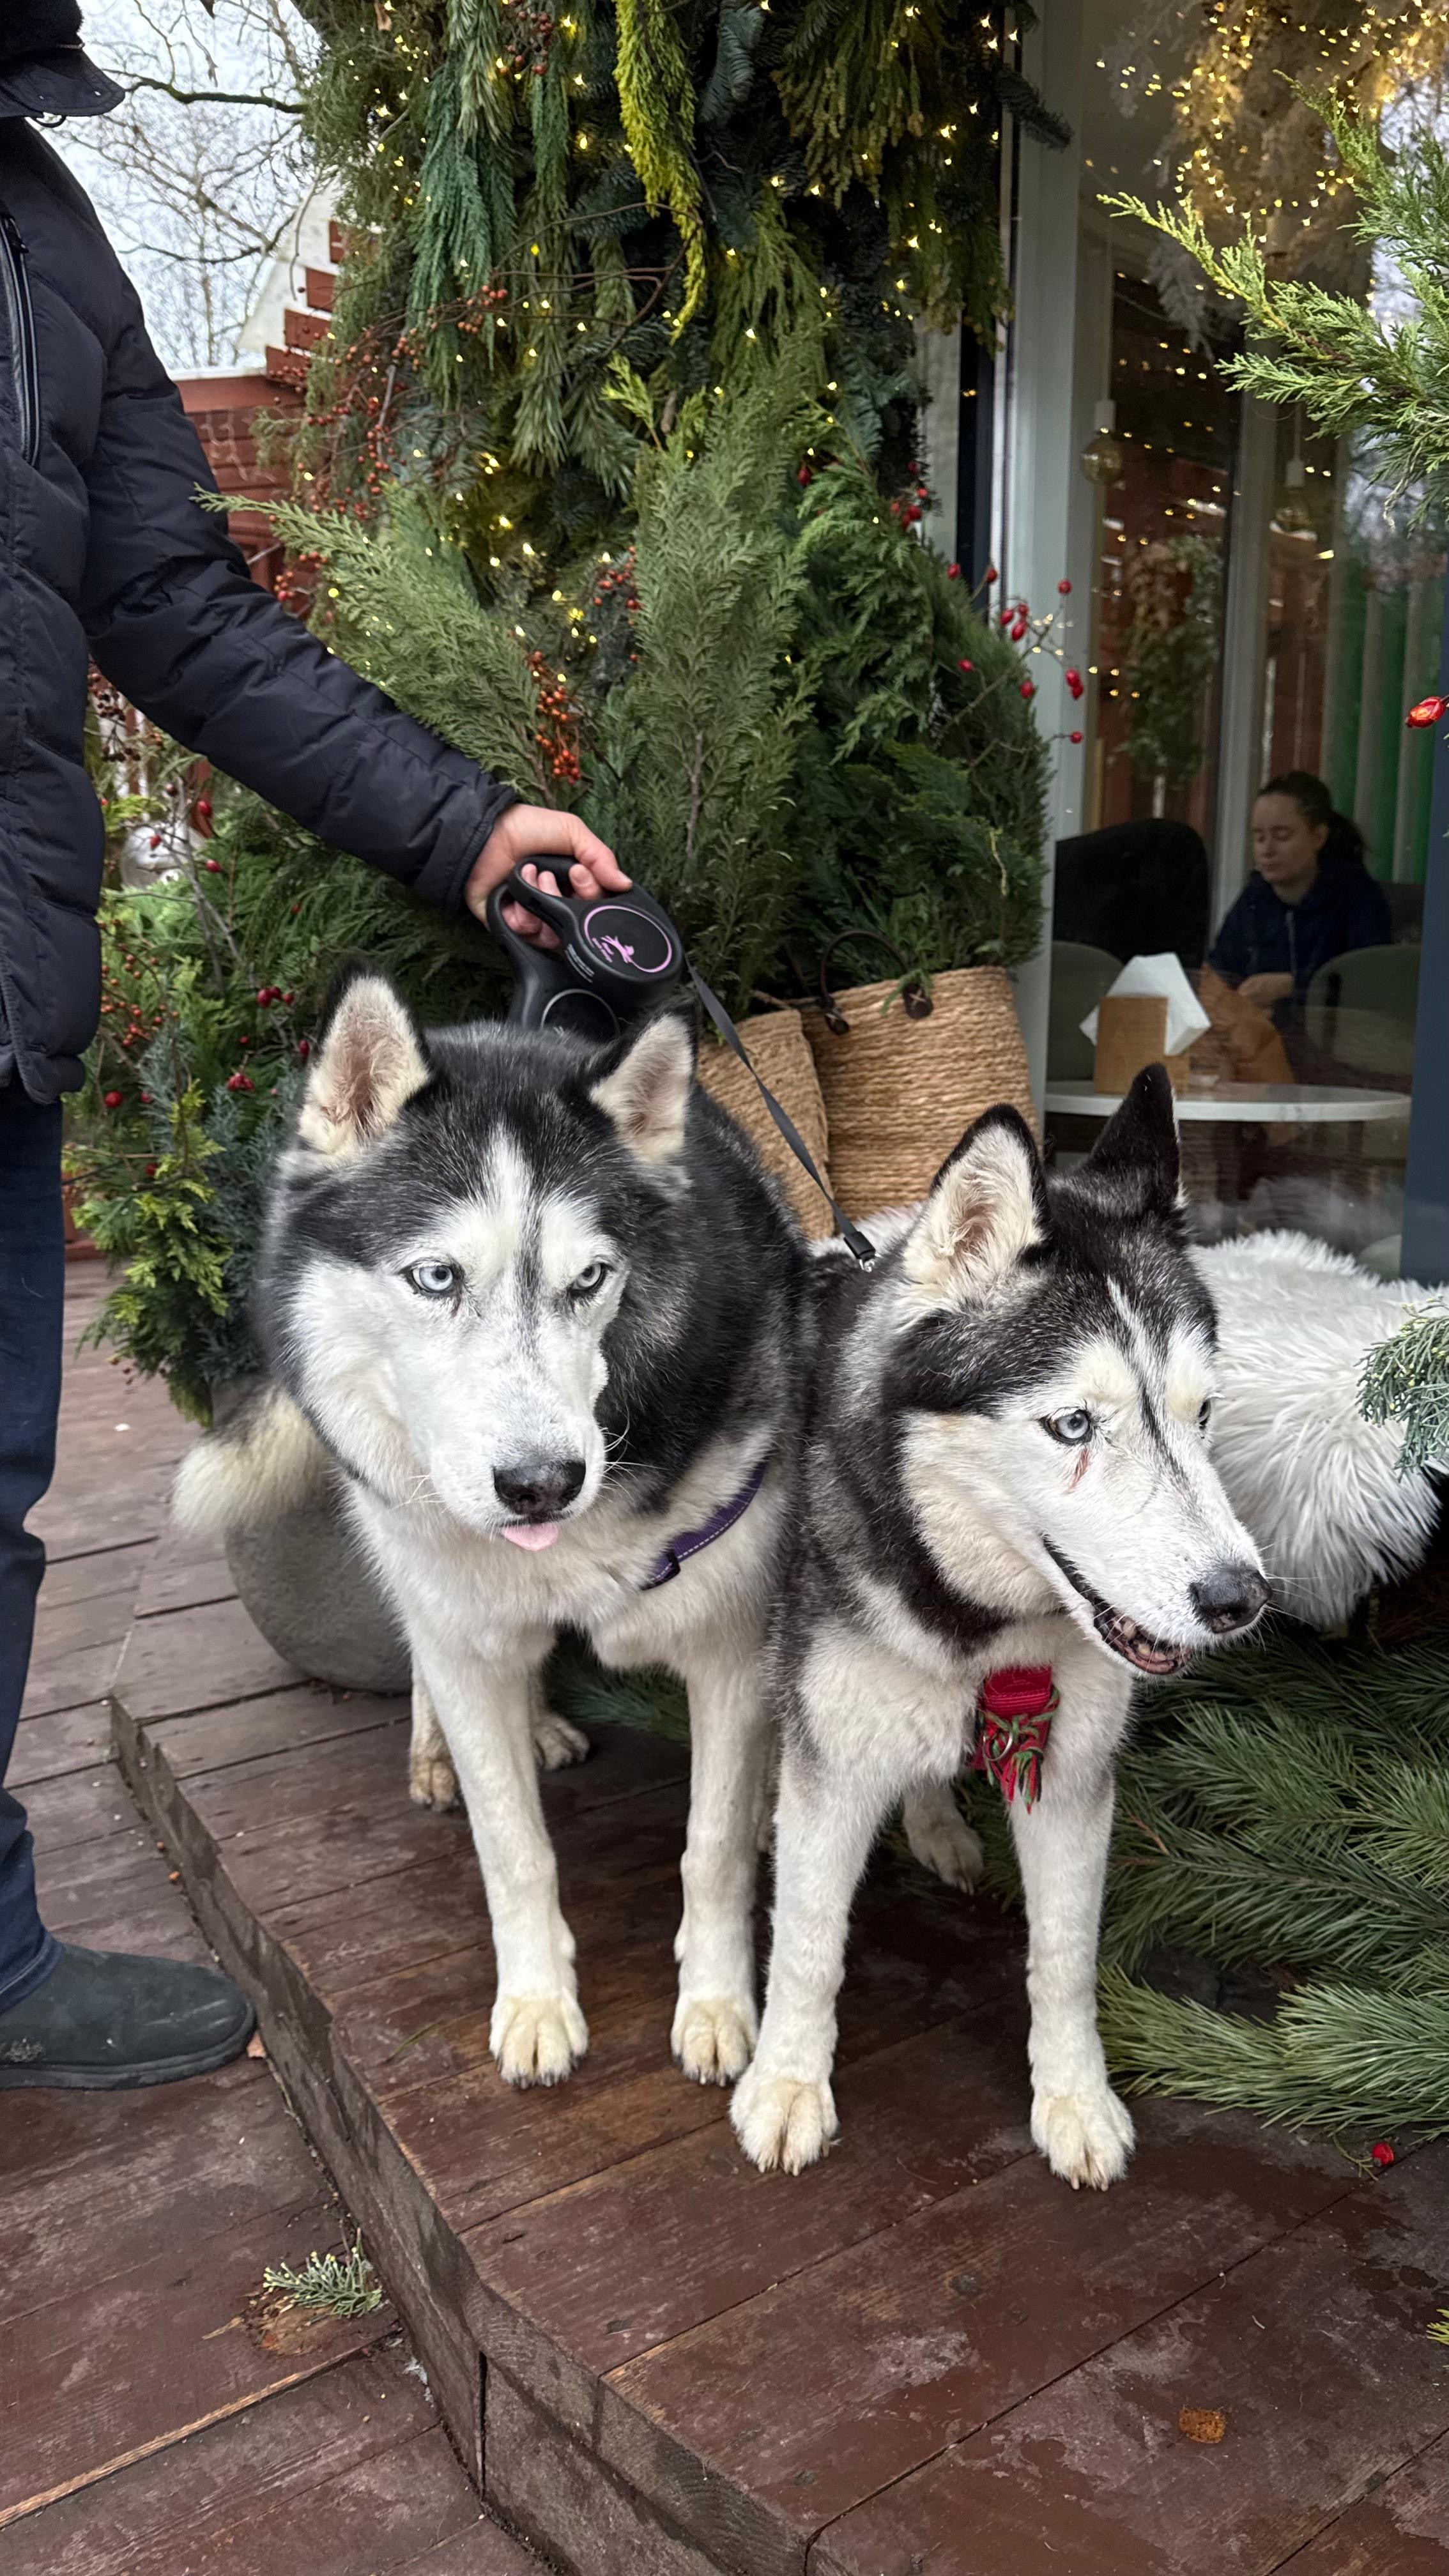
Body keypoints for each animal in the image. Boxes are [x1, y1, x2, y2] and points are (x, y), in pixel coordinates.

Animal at [176, 970, 805, 2090]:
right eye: (437, 1277)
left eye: (591, 1280)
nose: (543, 1486)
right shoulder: (466, 1632)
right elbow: (512, 1846)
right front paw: (538, 2002)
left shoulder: (729, 1646)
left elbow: (714, 1846)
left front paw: (718, 2002)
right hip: (412, 1553)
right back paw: (447, 1745)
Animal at [730, 1066, 1269, 2192]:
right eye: (1073, 1425)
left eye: (1201, 1413)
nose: (1239, 1598)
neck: (976, 1620)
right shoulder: (835, 1756)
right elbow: (808, 1941)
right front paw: (788, 2084)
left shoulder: (1068, 1772)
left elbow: (1063, 1958)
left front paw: (1073, 2099)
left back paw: (936, 1823)